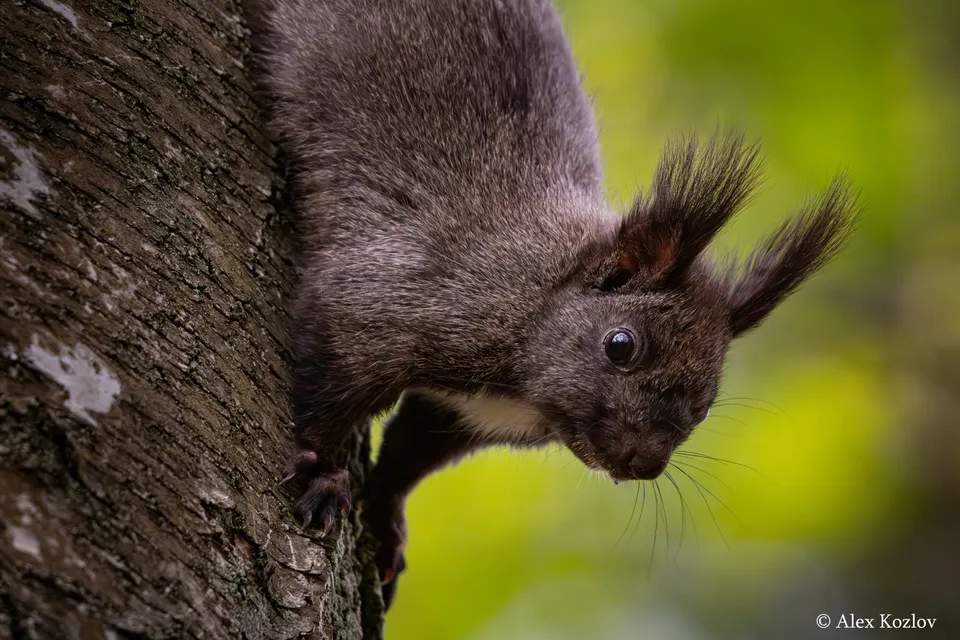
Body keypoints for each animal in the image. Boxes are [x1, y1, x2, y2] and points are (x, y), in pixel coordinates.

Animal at [247, 0, 858, 608]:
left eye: (706, 406)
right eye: (620, 345)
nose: (644, 463)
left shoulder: (461, 414)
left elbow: (409, 455)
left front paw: (387, 521)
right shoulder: (392, 297)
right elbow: (332, 391)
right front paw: (323, 475)